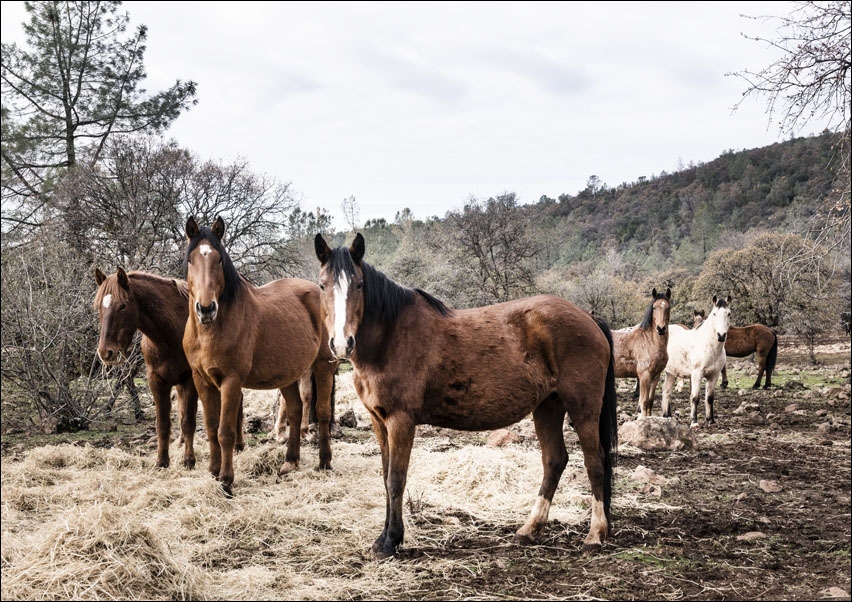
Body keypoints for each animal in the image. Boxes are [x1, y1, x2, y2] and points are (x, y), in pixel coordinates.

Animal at [184, 216, 340, 492]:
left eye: (219, 259)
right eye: (191, 259)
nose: (206, 308)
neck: (211, 330)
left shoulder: (231, 382)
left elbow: (225, 432)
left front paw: (226, 481)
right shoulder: (201, 380)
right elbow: (211, 428)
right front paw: (213, 473)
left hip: (323, 368)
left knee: (322, 412)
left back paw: (324, 462)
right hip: (288, 374)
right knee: (295, 410)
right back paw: (289, 463)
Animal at [316, 233, 616, 556]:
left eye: (359, 284)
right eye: (322, 285)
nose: (342, 344)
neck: (391, 337)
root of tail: (589, 318)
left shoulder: (400, 421)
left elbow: (396, 479)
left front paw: (391, 541)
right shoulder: (378, 420)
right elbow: (386, 478)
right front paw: (384, 538)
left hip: (583, 409)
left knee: (595, 462)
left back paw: (595, 534)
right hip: (548, 407)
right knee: (554, 461)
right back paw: (530, 529)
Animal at [660, 296, 732, 426]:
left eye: (728, 313)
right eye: (714, 314)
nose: (721, 336)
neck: (709, 346)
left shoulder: (714, 375)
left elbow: (709, 398)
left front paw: (711, 420)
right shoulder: (697, 374)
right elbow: (695, 398)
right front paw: (694, 421)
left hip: (671, 373)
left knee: (666, 391)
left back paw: (667, 416)